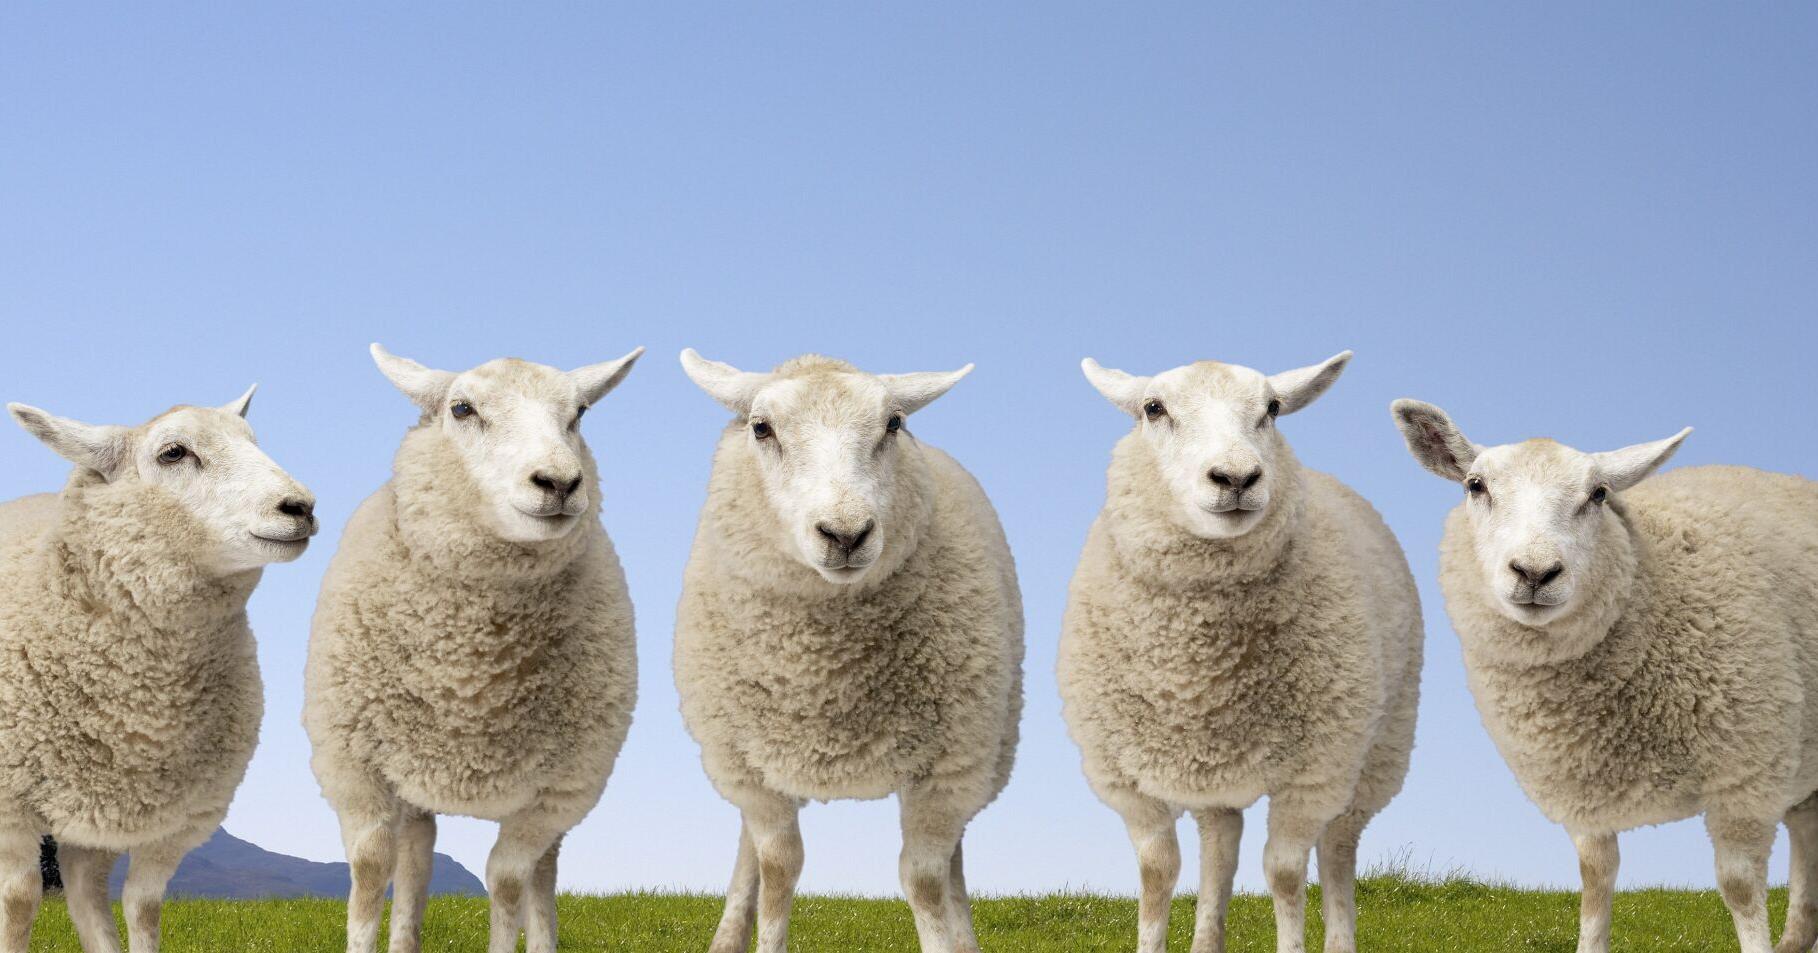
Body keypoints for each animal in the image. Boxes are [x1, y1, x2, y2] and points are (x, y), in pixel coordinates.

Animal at [0, 389, 317, 953]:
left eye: (253, 441)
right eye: (173, 453)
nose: (300, 507)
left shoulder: (175, 822)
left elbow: (144, 909)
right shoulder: (10, 809)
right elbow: (18, 905)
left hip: (99, 813)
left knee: (86, 889)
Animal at [304, 345, 642, 953]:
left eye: (579, 413)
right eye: (462, 408)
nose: (560, 482)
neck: (469, 678)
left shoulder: (556, 791)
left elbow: (506, 881)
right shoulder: (354, 768)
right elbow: (371, 870)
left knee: (542, 871)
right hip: (411, 776)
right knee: (417, 859)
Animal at [674, 350, 1023, 953]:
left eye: (894, 424)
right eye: (761, 428)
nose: (845, 534)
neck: (828, 675)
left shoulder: (948, 767)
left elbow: (924, 881)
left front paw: (945, 936)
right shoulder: (749, 764)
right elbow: (777, 868)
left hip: (985, 749)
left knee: (953, 857)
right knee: (747, 846)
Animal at [1060, 353, 1423, 953]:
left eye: (1272, 409)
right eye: (1152, 408)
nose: (1236, 478)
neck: (1200, 672)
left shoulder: (1313, 773)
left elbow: (1285, 873)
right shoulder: (1128, 778)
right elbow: (1158, 871)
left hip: (1377, 746)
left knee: (1339, 847)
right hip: (1214, 768)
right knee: (1221, 843)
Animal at [1392, 400, 1818, 953]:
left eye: (1598, 494)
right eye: (1475, 485)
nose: (1535, 573)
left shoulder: (1746, 777)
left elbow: (1740, 887)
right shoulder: (1583, 787)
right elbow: (1595, 879)